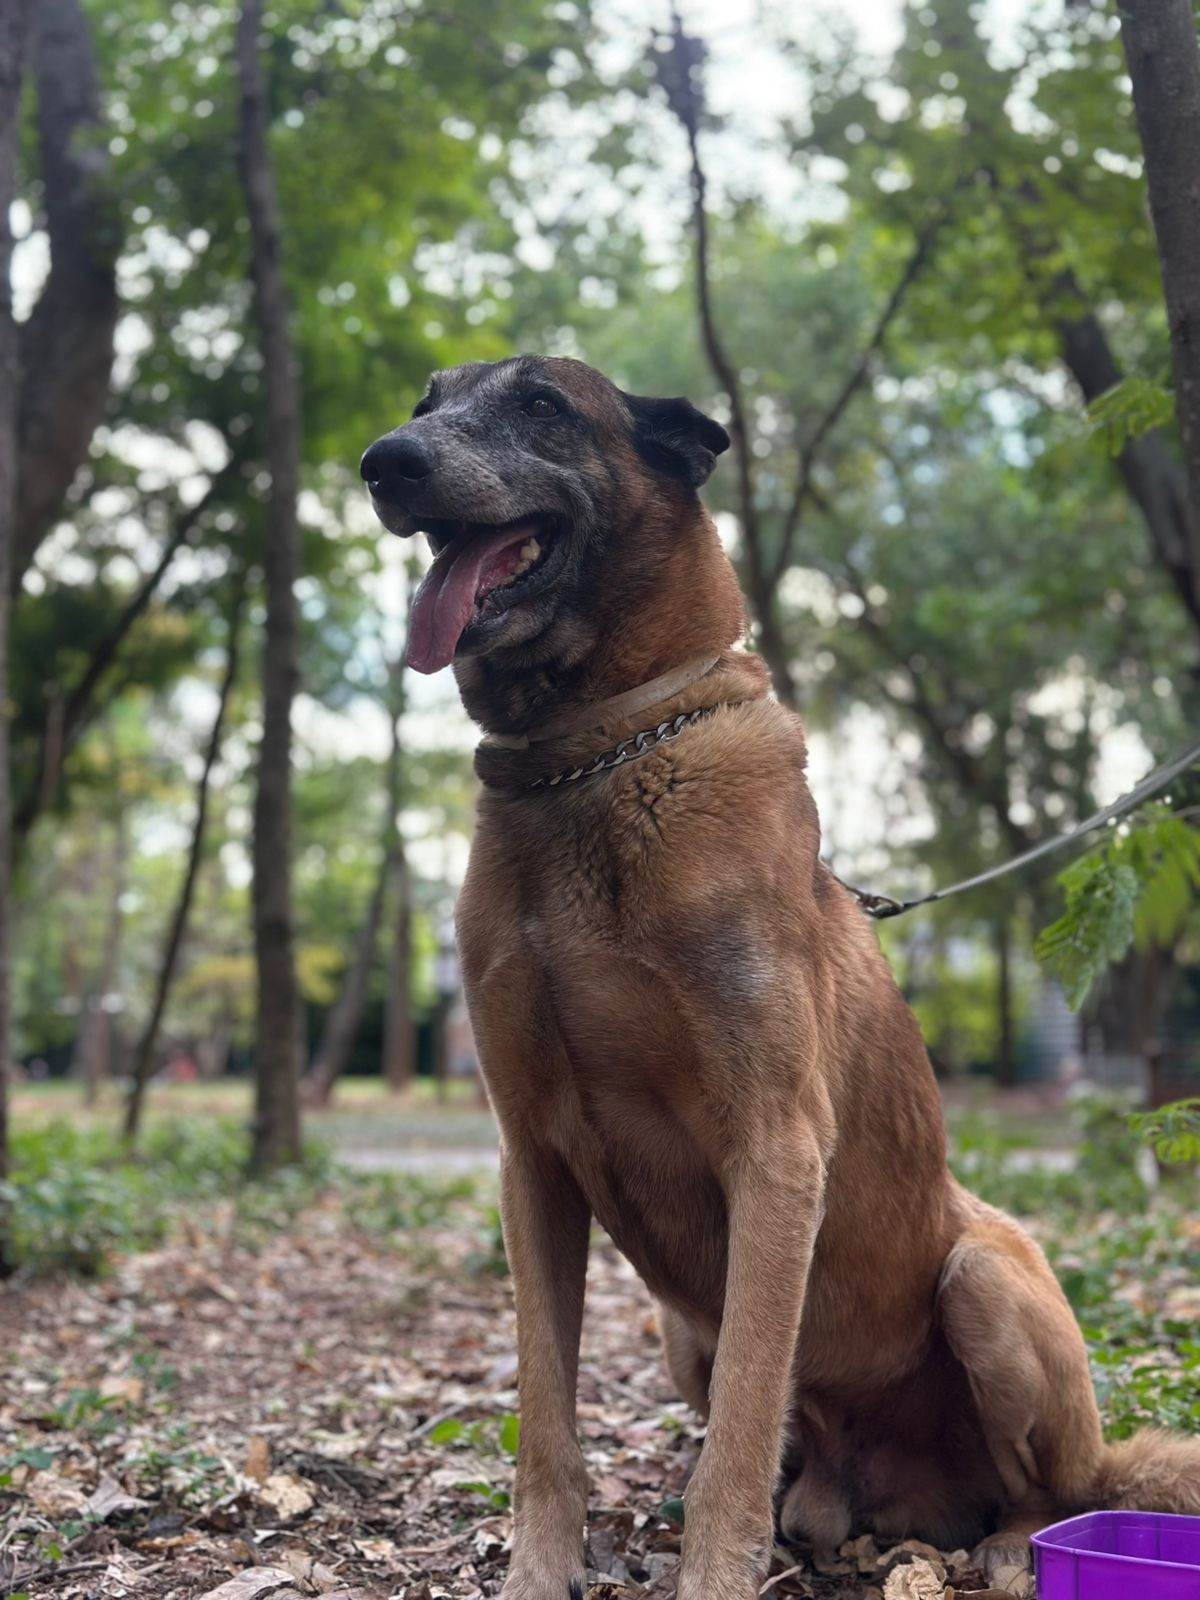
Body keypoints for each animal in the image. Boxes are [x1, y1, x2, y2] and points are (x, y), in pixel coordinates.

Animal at [362, 354, 1200, 1600]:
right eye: (427, 403)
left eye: (543, 405)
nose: (385, 461)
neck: (589, 762)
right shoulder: (533, 1170)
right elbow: (550, 1426)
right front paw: (539, 1572)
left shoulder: (774, 1152)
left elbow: (743, 1432)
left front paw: (710, 1573)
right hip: (682, 1332)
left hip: (983, 1281)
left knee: (1051, 1486)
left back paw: (1011, 1544)